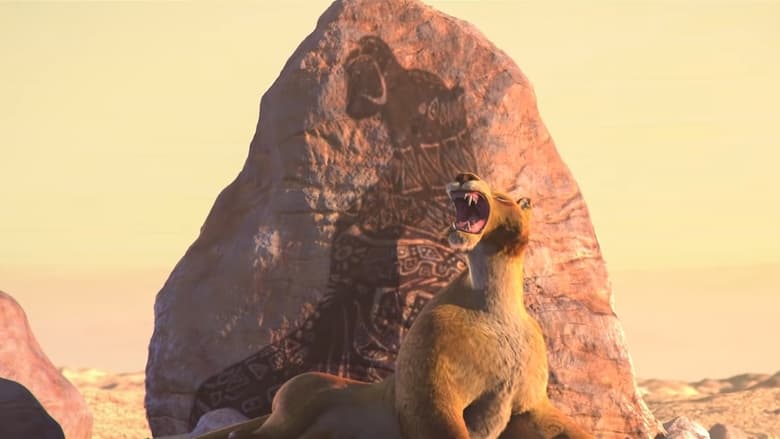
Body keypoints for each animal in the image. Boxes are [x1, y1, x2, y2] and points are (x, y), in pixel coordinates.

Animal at [191, 172, 594, 439]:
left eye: (505, 197)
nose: (464, 176)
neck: (495, 298)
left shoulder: (529, 403)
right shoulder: (431, 392)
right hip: (298, 401)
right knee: (243, 435)